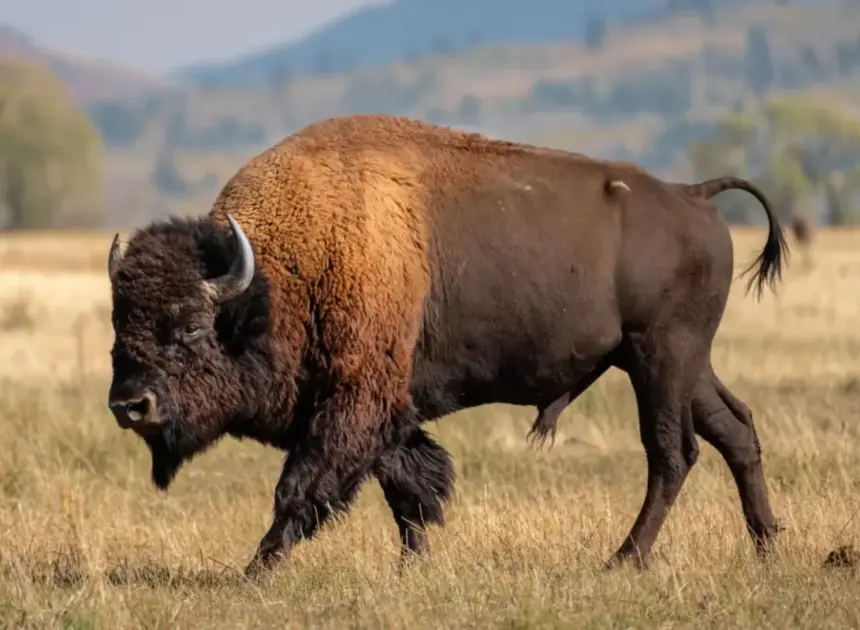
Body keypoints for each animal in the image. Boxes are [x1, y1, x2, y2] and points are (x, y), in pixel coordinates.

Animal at [105, 113, 788, 578]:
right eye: (118, 327)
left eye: (191, 327)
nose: (130, 406)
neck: (282, 276)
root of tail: (694, 196)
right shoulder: (384, 407)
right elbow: (407, 486)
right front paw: (415, 563)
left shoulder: (354, 402)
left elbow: (304, 485)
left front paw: (256, 569)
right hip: (681, 363)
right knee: (736, 431)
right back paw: (768, 544)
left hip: (660, 358)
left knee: (672, 453)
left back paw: (624, 558)